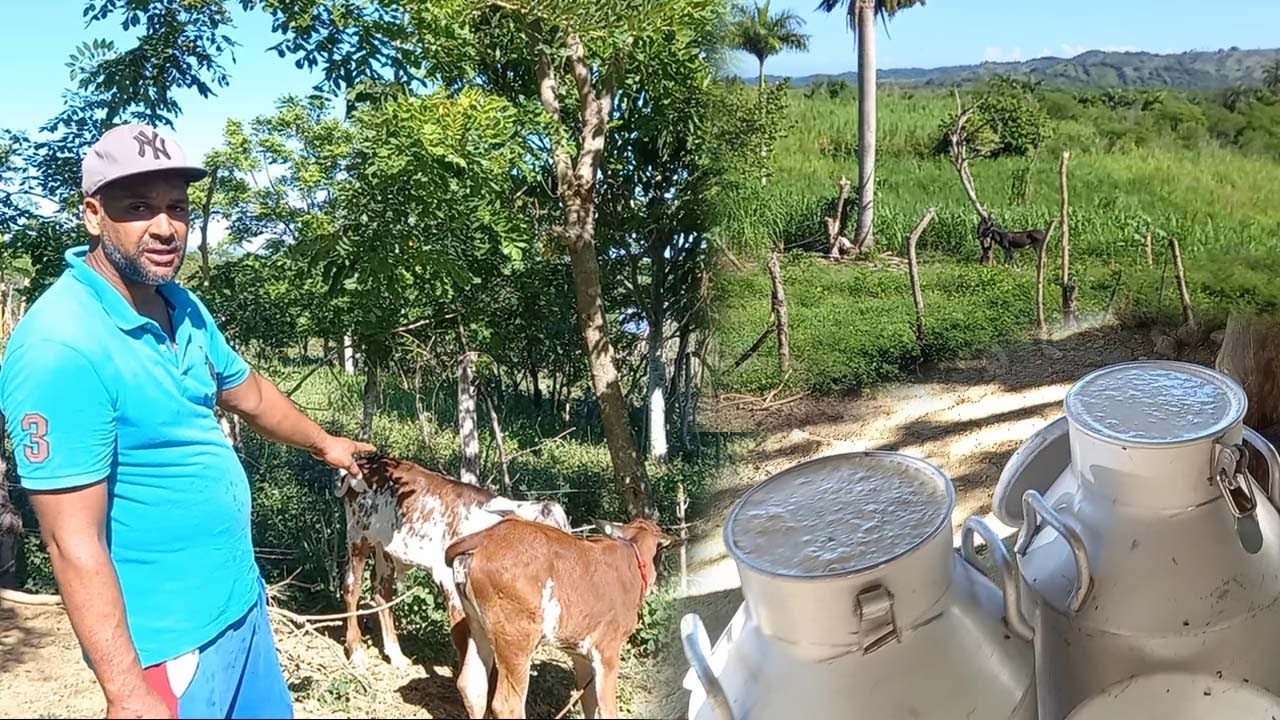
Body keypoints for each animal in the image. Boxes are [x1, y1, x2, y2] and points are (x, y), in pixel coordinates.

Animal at [334, 453, 571, 693]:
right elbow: (461, 634)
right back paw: (356, 650)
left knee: (382, 593)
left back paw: (396, 654)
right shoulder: (449, 580)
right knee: (351, 588)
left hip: (385, 547)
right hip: (358, 534)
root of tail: (364, 460)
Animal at [445, 516, 676, 719]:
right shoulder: (608, 650)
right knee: (506, 704)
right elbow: (607, 708)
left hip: (478, 626)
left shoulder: (580, 653)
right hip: (516, 640)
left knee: (471, 686)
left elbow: (589, 702)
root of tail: (487, 536)